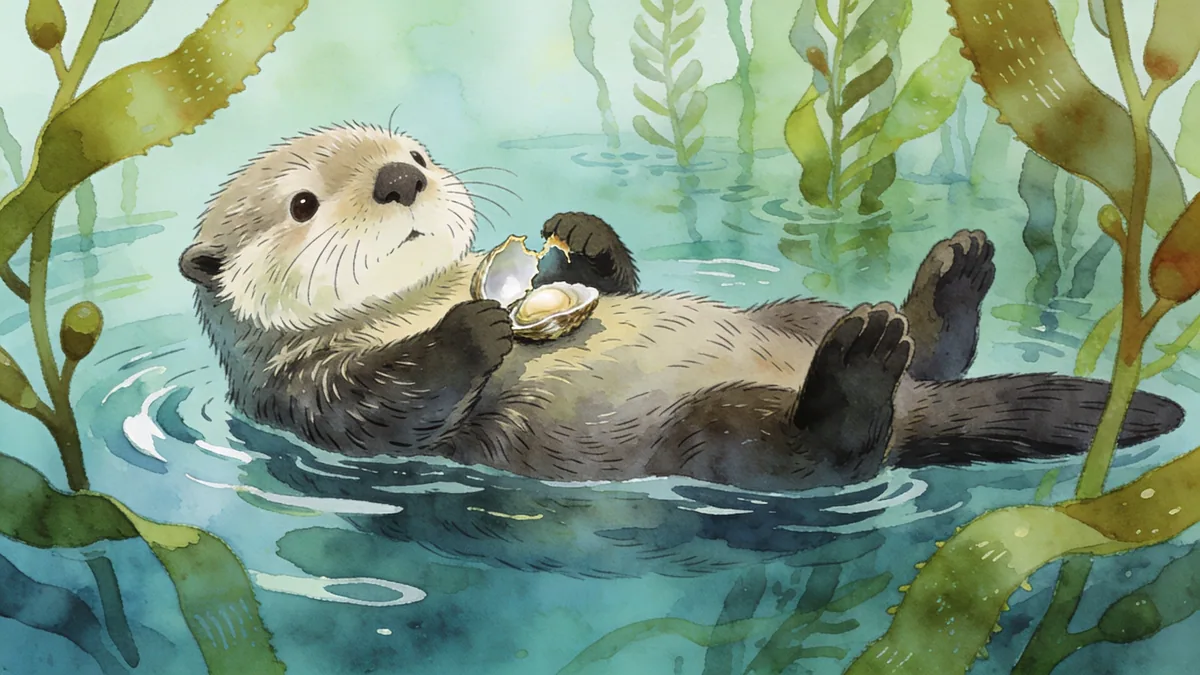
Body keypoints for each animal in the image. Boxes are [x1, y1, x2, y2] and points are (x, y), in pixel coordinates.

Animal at [179, 123, 1184, 493]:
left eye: (419, 152)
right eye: (303, 204)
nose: (401, 177)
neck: (419, 295)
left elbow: (608, 280)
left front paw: (581, 236)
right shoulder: (305, 395)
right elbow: (394, 400)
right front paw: (472, 328)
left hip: (792, 310)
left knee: (920, 352)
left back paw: (950, 280)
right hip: (709, 434)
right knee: (829, 451)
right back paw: (862, 365)